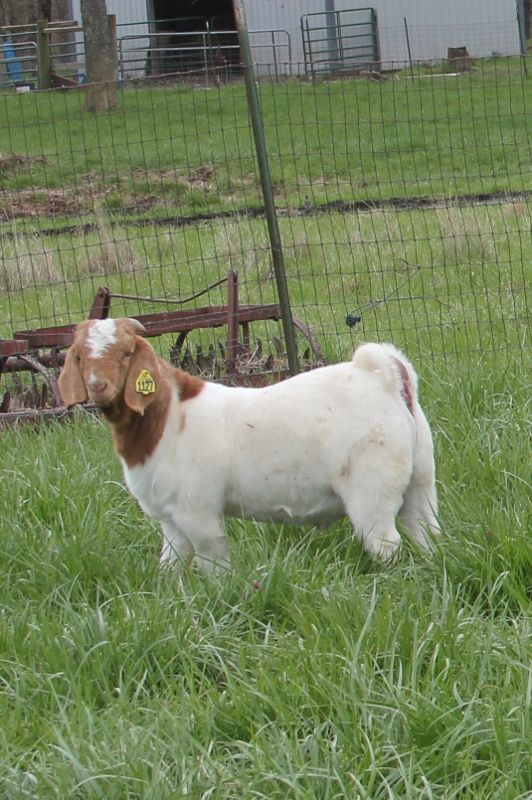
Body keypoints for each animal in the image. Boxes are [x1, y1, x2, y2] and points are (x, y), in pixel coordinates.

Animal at [58, 318, 440, 572]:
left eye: (126, 353)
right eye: (79, 356)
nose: (98, 385)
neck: (170, 419)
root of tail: (384, 377)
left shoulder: (198, 513)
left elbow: (214, 565)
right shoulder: (170, 520)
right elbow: (170, 565)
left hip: (372, 487)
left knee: (386, 543)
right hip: (421, 478)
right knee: (425, 531)